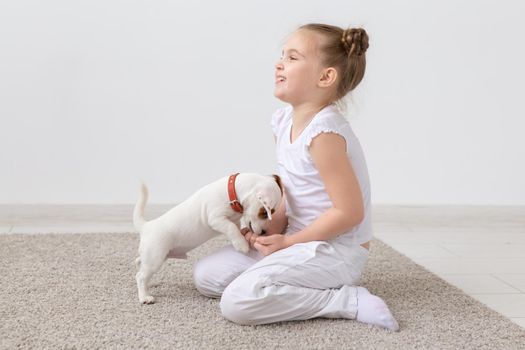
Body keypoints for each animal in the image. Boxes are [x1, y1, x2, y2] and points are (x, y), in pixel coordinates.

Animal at [133, 172, 280, 304]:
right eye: (265, 213)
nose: (264, 232)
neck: (232, 193)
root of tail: (146, 226)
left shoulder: (234, 220)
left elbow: (236, 229)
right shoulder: (215, 219)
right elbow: (231, 228)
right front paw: (242, 245)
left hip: (157, 257)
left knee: (141, 265)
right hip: (155, 259)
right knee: (140, 277)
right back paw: (144, 297)